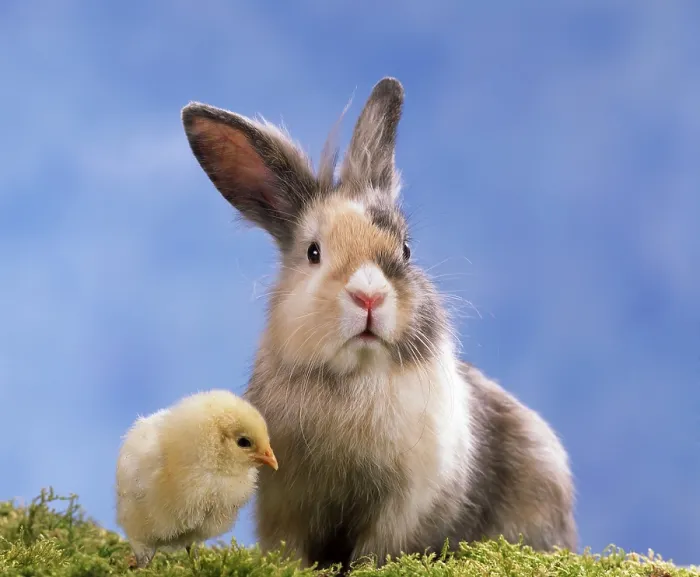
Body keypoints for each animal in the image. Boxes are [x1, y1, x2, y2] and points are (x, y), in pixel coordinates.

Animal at [181, 77, 577, 573]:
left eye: (406, 249)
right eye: (313, 252)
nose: (368, 296)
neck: (357, 379)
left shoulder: (404, 507)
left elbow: (377, 552)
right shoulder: (285, 502)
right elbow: (292, 549)